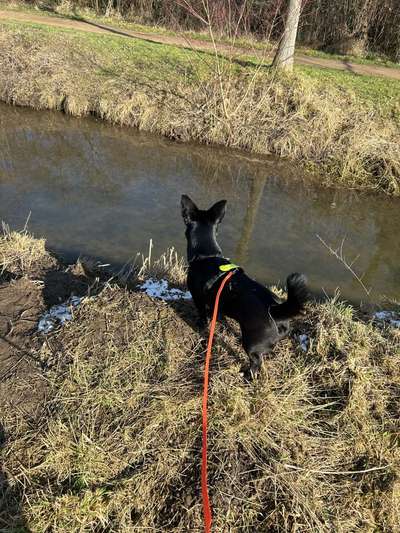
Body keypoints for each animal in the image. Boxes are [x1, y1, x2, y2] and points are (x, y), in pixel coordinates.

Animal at [181, 193, 310, 376]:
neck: (206, 255)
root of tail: (274, 309)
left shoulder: (198, 298)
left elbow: (202, 316)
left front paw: (200, 326)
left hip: (251, 344)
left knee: (256, 362)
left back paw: (247, 374)